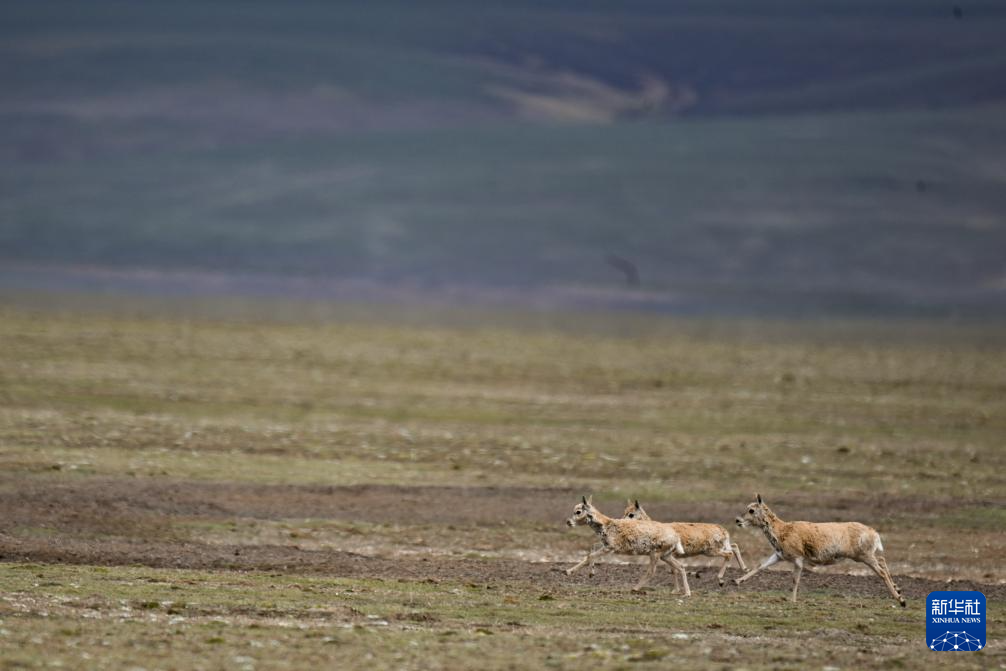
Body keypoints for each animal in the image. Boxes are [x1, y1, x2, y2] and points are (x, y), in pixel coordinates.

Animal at [733, 494, 906, 606]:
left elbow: (795, 579)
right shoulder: (779, 556)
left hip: (864, 556)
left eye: (751, 510)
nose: (737, 520)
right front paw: (736, 581)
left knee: (881, 571)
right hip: (866, 555)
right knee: (882, 560)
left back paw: (901, 600)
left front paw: (792, 600)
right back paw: (898, 590)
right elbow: (760, 566)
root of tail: (874, 532)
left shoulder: (798, 559)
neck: (782, 530)